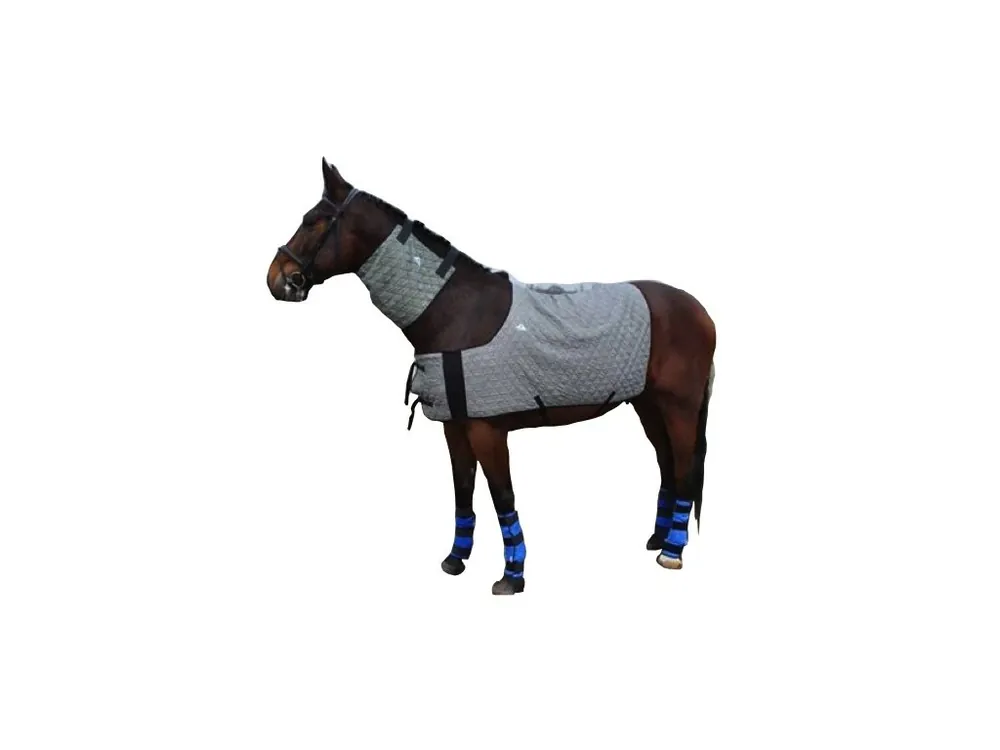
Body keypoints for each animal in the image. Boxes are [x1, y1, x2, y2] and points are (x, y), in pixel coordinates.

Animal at [267, 159, 716, 595]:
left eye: (315, 221)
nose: (277, 278)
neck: (456, 312)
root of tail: (699, 311)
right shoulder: (454, 427)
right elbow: (462, 491)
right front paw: (455, 559)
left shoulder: (488, 430)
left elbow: (502, 495)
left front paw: (512, 575)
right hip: (647, 404)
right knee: (666, 462)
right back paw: (658, 538)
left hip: (679, 407)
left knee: (684, 466)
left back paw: (673, 551)